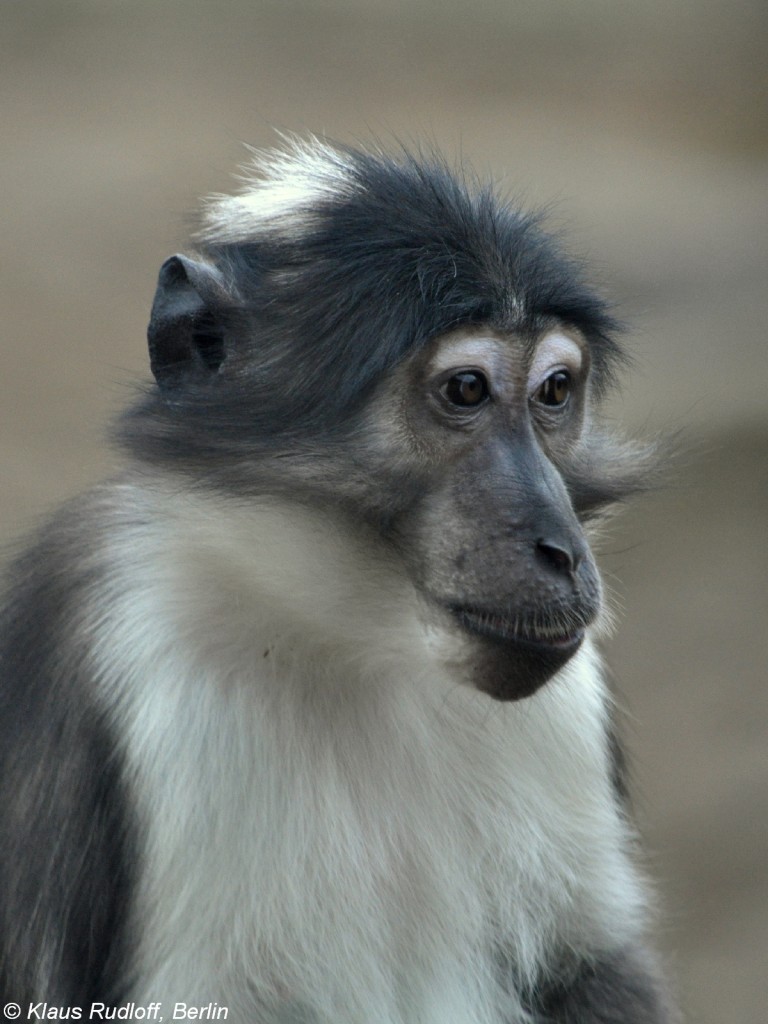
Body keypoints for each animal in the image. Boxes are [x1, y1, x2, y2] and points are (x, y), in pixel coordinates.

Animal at [0, 138, 671, 1024]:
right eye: (466, 389)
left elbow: (592, 969)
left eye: (555, 391)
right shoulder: (144, 667)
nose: (559, 549)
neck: (357, 642)